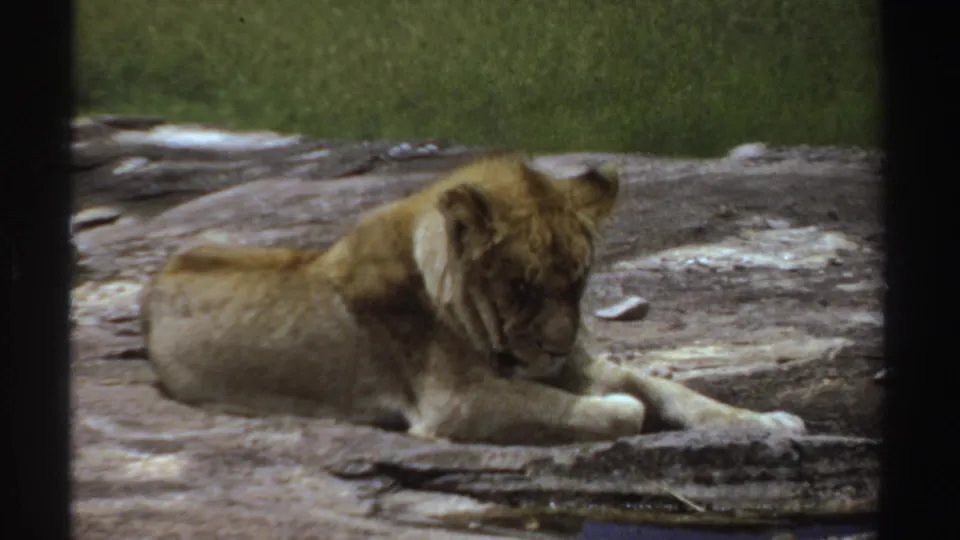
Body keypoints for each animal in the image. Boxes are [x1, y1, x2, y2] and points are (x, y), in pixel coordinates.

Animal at [141, 155, 805, 445]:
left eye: (578, 282)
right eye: (522, 286)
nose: (555, 347)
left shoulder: (570, 364)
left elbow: (672, 389)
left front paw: (769, 421)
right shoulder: (453, 403)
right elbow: (608, 407)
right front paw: (621, 410)